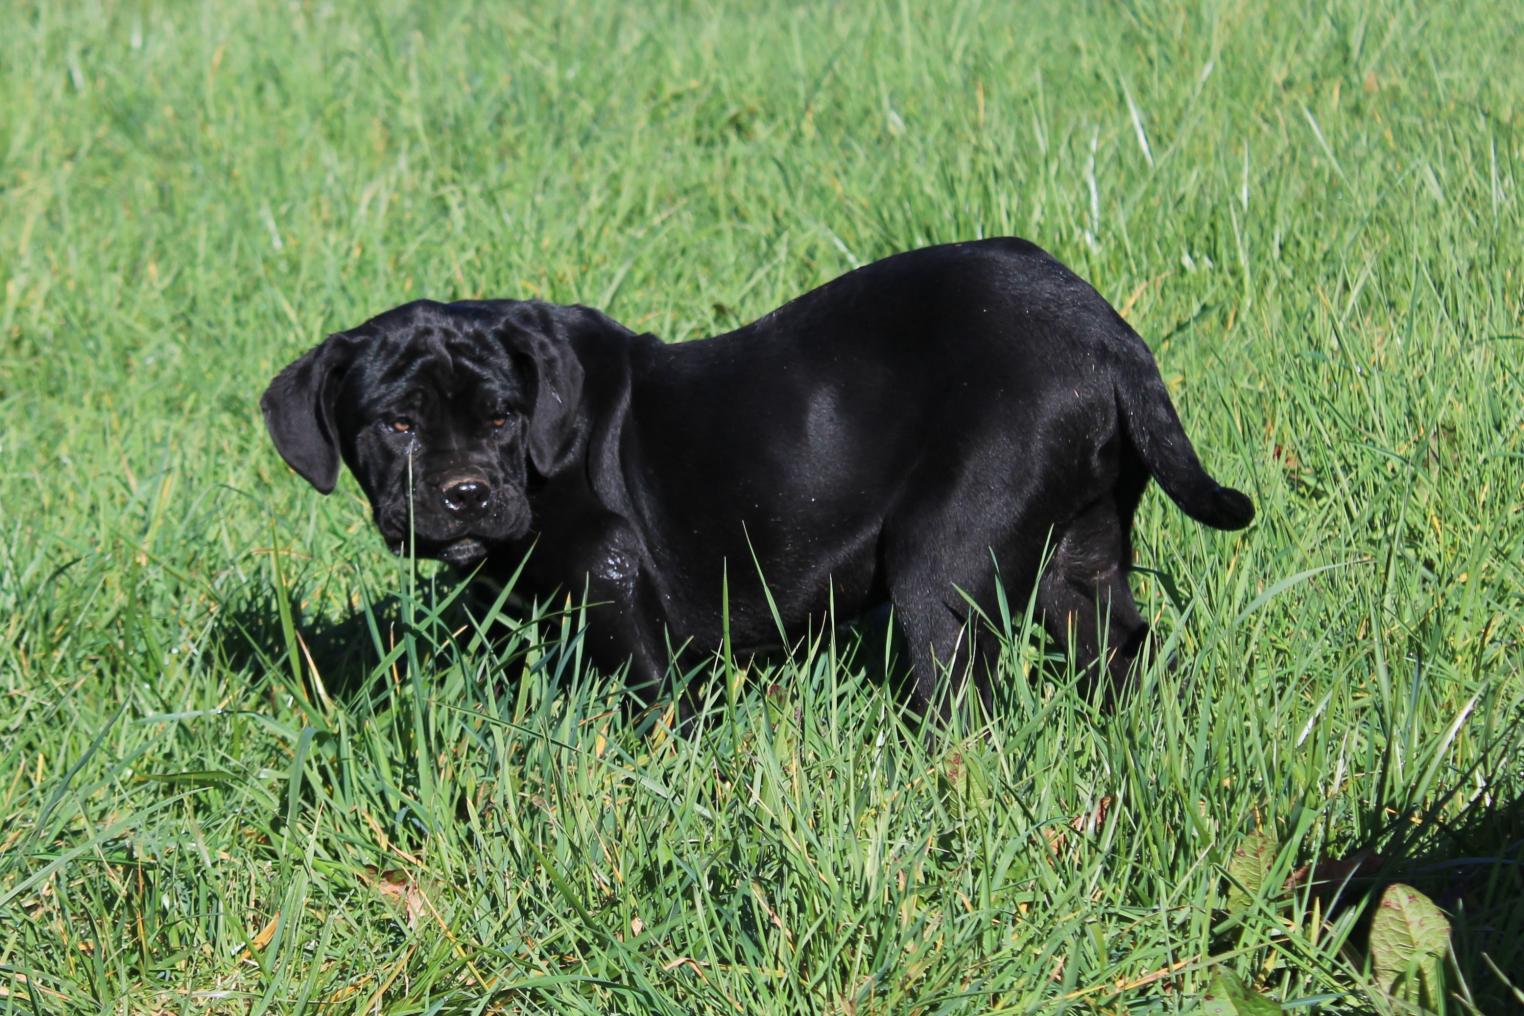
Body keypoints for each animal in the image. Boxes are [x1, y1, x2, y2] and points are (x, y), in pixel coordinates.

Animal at [265, 239, 1249, 715]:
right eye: (397, 426)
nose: (465, 493)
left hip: (941, 563)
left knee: (962, 698)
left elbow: (652, 704)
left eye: (503, 418)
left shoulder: (615, 586)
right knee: (1121, 647)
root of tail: (1101, 328)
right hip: (1080, 556)